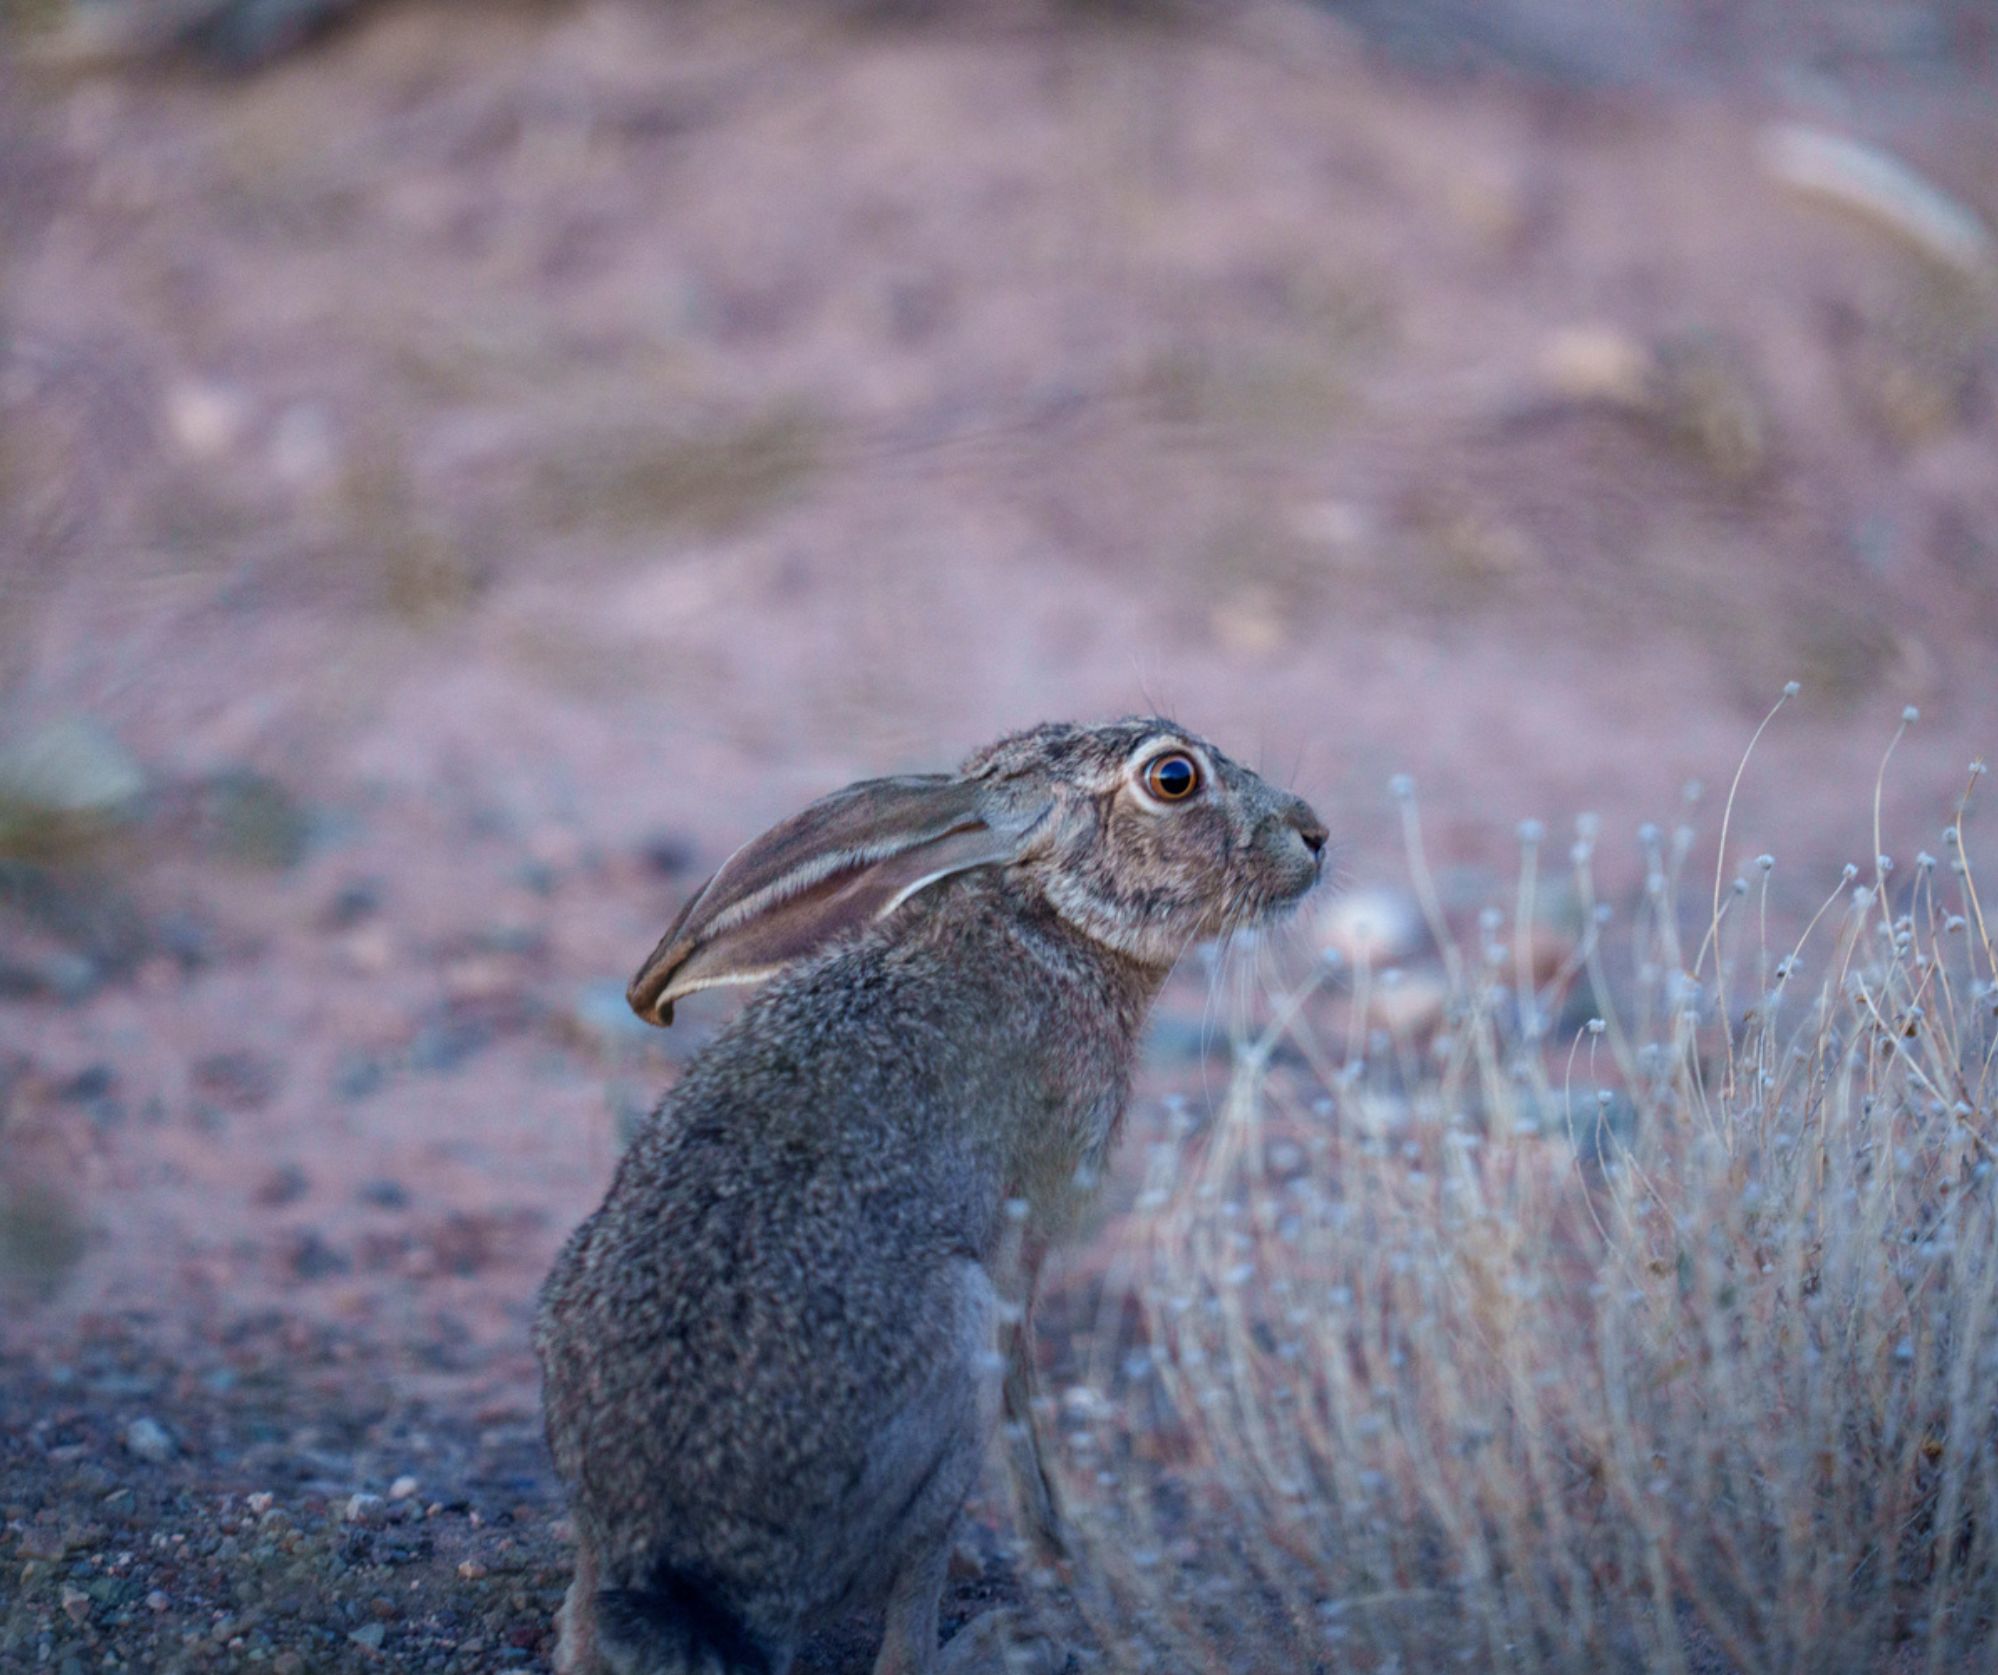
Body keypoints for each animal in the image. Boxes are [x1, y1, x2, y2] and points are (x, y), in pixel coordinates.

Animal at [535, 717, 1327, 1675]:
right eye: (1173, 777)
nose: (1313, 834)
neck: (1047, 922)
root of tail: (682, 1576)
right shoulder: (1029, 1225)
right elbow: (1026, 1383)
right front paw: (1057, 1545)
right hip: (953, 1368)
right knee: (906, 1637)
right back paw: (998, 1638)